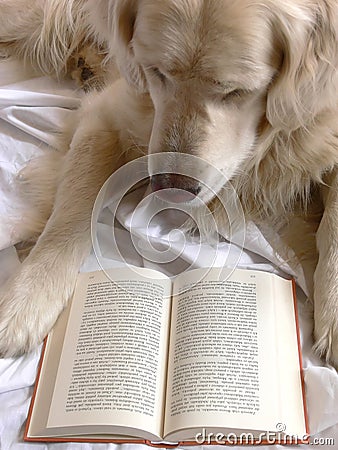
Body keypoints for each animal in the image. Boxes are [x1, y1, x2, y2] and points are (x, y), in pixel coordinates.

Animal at [0, 0, 336, 366]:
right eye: (157, 72)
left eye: (236, 91)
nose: (171, 186)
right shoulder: (107, 113)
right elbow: (72, 211)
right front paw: (26, 299)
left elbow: (332, 220)